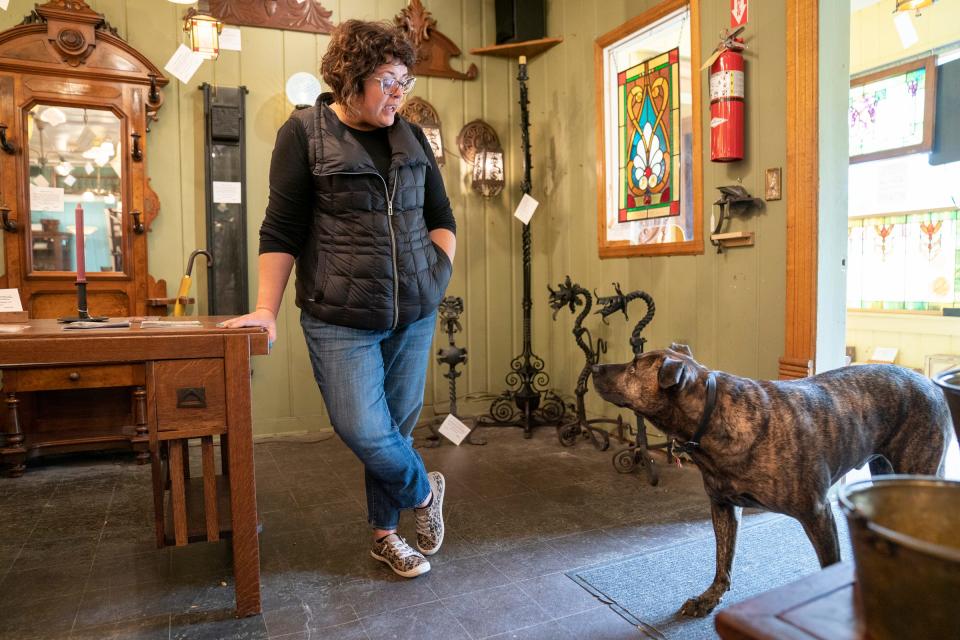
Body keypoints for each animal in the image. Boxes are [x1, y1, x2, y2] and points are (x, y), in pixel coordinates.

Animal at [588, 348, 948, 616]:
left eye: (634, 367)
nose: (593, 366)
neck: (712, 414)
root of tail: (930, 385)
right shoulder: (723, 507)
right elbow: (723, 560)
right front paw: (709, 598)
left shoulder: (818, 513)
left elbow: (829, 563)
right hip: (886, 472)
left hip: (917, 471)